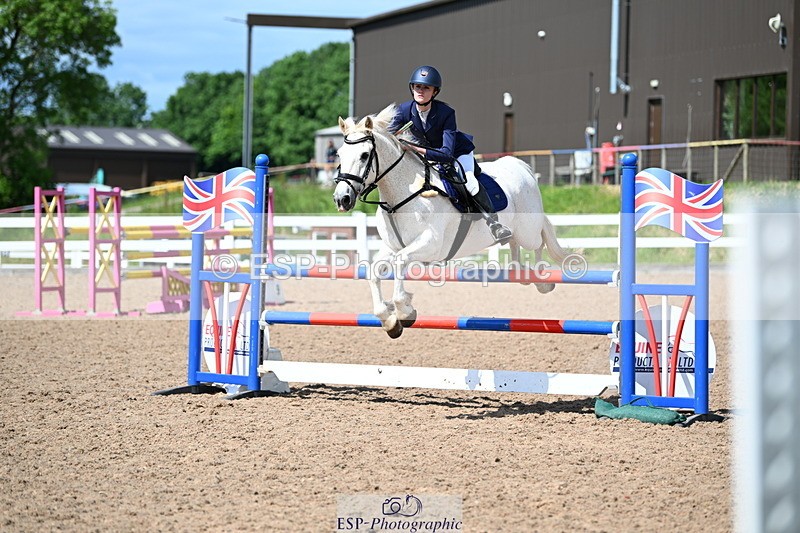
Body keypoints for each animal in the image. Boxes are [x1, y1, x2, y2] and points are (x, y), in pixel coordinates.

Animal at [333, 103, 570, 339]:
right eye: (339, 154)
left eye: (365, 155)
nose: (341, 199)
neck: (400, 196)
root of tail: (520, 166)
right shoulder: (392, 247)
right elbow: (374, 271)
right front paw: (390, 320)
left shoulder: (431, 244)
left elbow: (400, 263)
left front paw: (405, 310)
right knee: (514, 243)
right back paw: (518, 269)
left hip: (527, 231)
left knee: (539, 240)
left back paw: (541, 279)